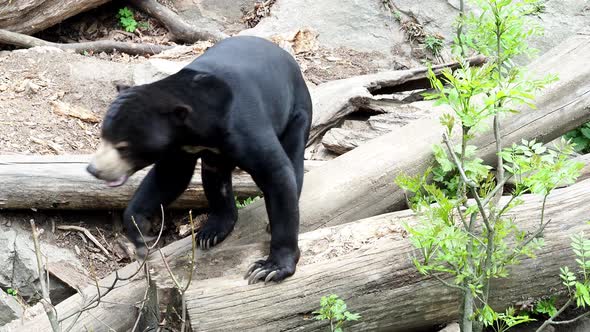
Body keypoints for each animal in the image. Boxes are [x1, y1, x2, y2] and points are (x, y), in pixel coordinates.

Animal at [87, 35, 314, 282]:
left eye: (123, 147)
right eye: (103, 136)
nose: (93, 169)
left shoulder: (244, 126)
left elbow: (276, 172)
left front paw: (271, 267)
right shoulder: (180, 146)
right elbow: (169, 177)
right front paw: (140, 230)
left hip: (298, 111)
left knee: (293, 159)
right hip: (217, 158)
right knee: (215, 177)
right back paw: (211, 231)